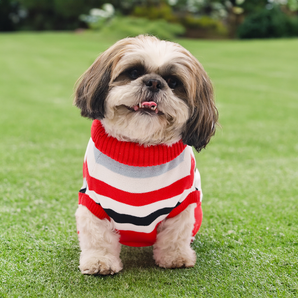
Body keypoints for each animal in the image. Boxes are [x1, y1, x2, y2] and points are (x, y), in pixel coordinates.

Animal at [74, 35, 218, 274]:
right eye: (134, 72)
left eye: (173, 82)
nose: (154, 82)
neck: (140, 148)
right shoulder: (93, 203)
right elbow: (97, 236)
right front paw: (100, 260)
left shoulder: (183, 205)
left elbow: (175, 235)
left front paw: (175, 257)